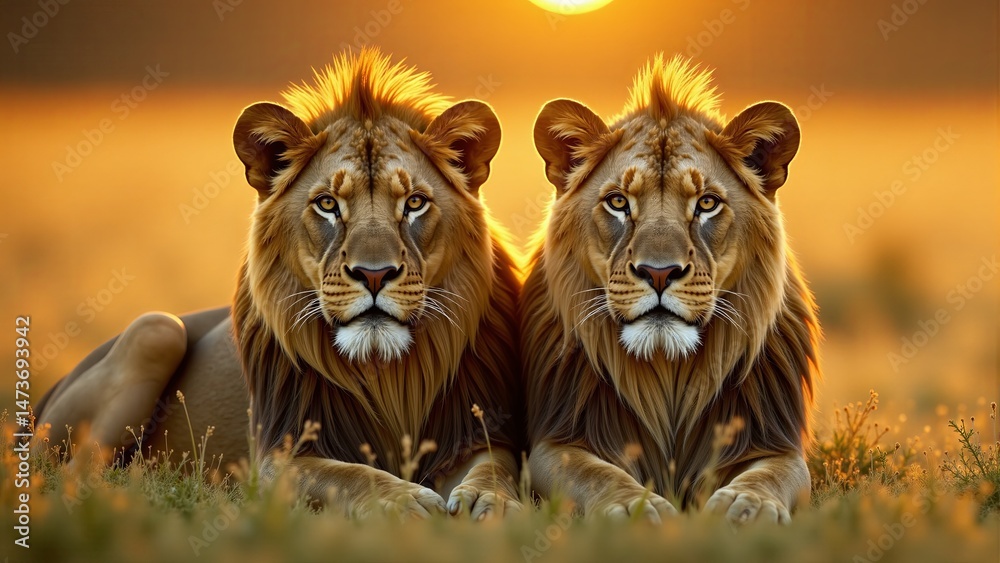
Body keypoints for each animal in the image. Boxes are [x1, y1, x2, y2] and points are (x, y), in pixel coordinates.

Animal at [34, 48, 523, 520]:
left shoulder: (472, 433)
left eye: (416, 203)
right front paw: (404, 501)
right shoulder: (275, 460)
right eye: (327, 204)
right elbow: (350, 475)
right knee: (76, 474)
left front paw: (491, 500)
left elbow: (497, 467)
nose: (374, 274)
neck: (386, 375)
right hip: (155, 331)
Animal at [521, 54, 820, 525]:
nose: (659, 273)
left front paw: (746, 505)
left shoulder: (776, 442)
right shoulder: (554, 442)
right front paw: (634, 507)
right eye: (619, 202)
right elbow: (596, 474)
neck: (668, 371)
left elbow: (769, 476)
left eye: (707, 203)